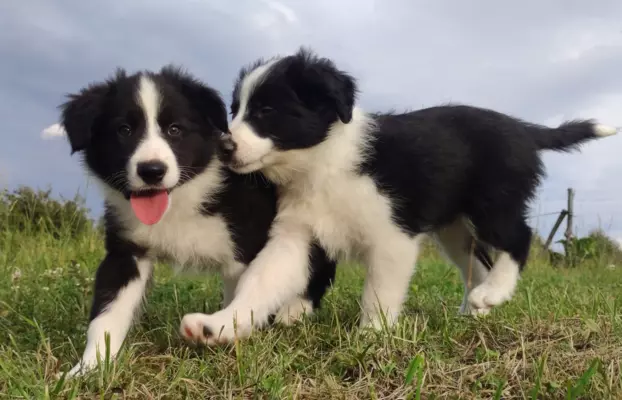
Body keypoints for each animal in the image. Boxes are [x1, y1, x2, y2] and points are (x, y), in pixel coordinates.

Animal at [61, 65, 338, 376]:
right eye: (124, 130)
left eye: (175, 129)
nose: (152, 171)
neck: (181, 199)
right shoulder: (126, 250)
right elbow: (107, 314)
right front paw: (88, 369)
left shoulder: (248, 244)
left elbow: (251, 291)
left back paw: (295, 310)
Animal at [178, 48, 620, 346]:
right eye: (235, 109)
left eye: (266, 111)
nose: (224, 146)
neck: (323, 164)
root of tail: (525, 129)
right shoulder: (295, 236)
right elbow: (261, 280)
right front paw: (221, 324)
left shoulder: (393, 236)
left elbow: (379, 291)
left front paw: (373, 335)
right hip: (454, 229)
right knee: (476, 262)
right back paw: (474, 310)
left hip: (493, 203)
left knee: (518, 239)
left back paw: (493, 293)